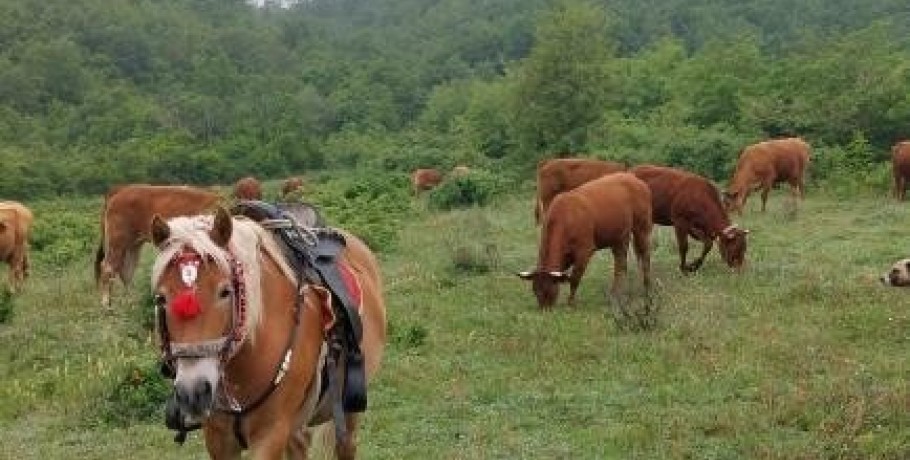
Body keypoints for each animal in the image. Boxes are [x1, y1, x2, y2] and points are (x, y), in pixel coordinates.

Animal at [149, 207, 388, 458]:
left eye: (225, 292)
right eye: (161, 298)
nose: (193, 392)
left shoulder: (270, 434)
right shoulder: (217, 437)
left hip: (348, 409)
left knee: (346, 444)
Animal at [516, 172, 652, 310]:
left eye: (550, 290)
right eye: (535, 290)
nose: (545, 310)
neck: (565, 219)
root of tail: (632, 178)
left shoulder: (584, 251)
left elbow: (575, 278)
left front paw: (570, 303)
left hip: (642, 227)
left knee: (645, 256)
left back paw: (647, 288)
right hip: (620, 237)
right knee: (621, 265)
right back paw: (616, 294)